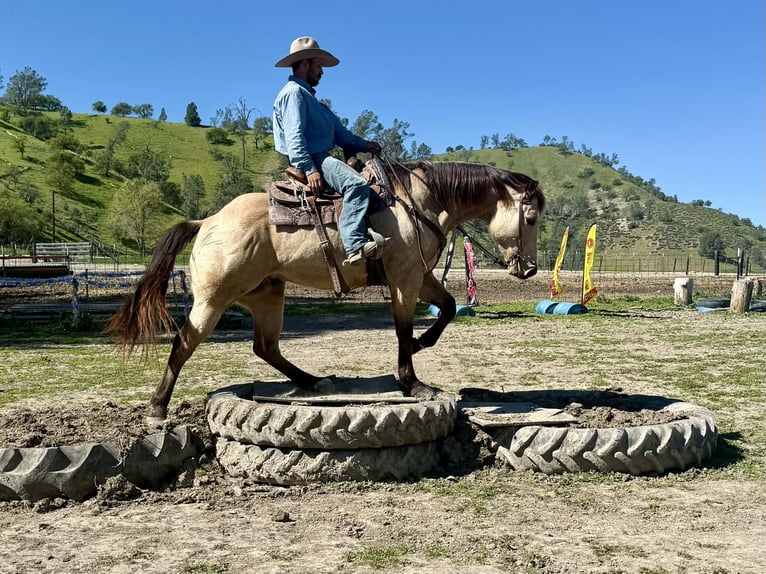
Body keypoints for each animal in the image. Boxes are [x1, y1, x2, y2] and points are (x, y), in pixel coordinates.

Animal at [106, 160, 545, 423]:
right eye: (531, 217)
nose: (530, 269)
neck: (418, 204)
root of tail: (208, 220)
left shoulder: (420, 276)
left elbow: (450, 306)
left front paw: (423, 343)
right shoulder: (404, 279)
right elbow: (402, 329)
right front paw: (413, 381)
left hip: (267, 294)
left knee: (266, 347)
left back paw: (315, 382)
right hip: (214, 299)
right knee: (184, 342)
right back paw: (158, 406)